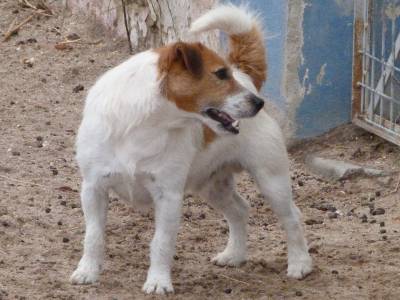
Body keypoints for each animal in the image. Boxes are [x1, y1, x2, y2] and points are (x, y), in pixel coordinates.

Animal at [69, 4, 312, 296]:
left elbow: (161, 243)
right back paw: (234, 255)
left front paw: (158, 281)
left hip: (271, 181)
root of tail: (247, 77)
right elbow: (93, 236)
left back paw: (300, 263)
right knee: (240, 210)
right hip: (212, 185)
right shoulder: (93, 188)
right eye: (220, 74)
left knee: (293, 218)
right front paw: (88, 271)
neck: (142, 125)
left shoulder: (168, 196)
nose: (259, 103)